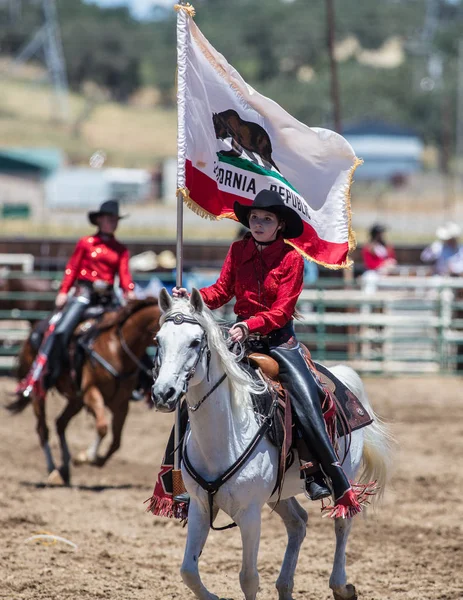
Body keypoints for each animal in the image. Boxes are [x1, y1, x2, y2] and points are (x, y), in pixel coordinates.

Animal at [5, 298, 160, 486]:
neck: (116, 348)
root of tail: (31, 336)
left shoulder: (121, 404)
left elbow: (116, 442)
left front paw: (97, 460)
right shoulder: (91, 393)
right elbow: (102, 427)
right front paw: (85, 457)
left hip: (76, 401)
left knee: (60, 423)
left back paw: (64, 469)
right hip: (39, 391)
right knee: (43, 430)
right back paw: (53, 471)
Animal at [150, 290, 394, 600]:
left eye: (195, 342)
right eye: (158, 340)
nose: (163, 393)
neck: (225, 437)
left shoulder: (250, 513)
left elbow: (248, 578)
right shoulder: (200, 507)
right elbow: (189, 571)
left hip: (345, 474)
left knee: (343, 520)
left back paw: (341, 585)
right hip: (279, 494)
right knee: (298, 523)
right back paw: (285, 586)